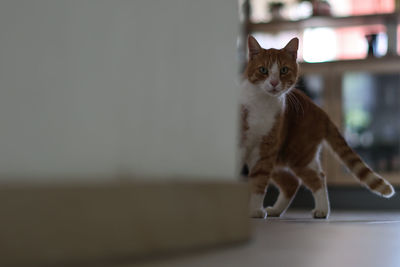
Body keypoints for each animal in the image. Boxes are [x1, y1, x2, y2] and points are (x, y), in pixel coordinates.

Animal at [241, 35, 394, 220]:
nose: (274, 82)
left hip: (297, 153)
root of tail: (320, 110)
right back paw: (277, 210)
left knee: (314, 178)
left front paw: (255, 210)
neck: (261, 103)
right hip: (285, 156)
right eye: (263, 70)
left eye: (284, 70)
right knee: (297, 181)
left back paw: (322, 210)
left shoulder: (266, 150)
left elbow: (259, 181)